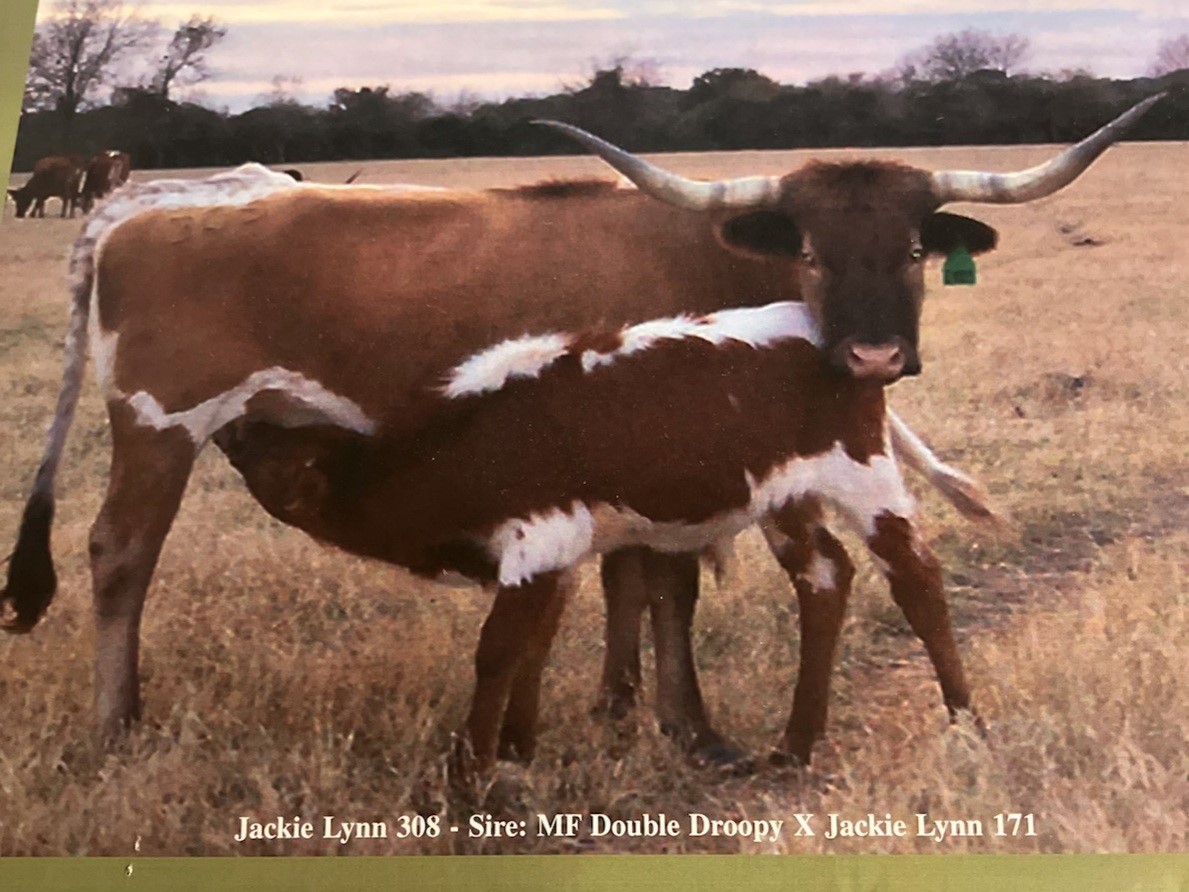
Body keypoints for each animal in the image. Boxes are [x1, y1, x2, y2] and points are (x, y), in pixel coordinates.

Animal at [0, 95, 1160, 765]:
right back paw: (117, 726)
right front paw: (683, 726)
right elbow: (666, 583)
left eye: (917, 249)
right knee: (120, 555)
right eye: (813, 249)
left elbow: (631, 581)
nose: (875, 359)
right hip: (159, 425)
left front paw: (619, 707)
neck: (713, 259)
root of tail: (145, 208)